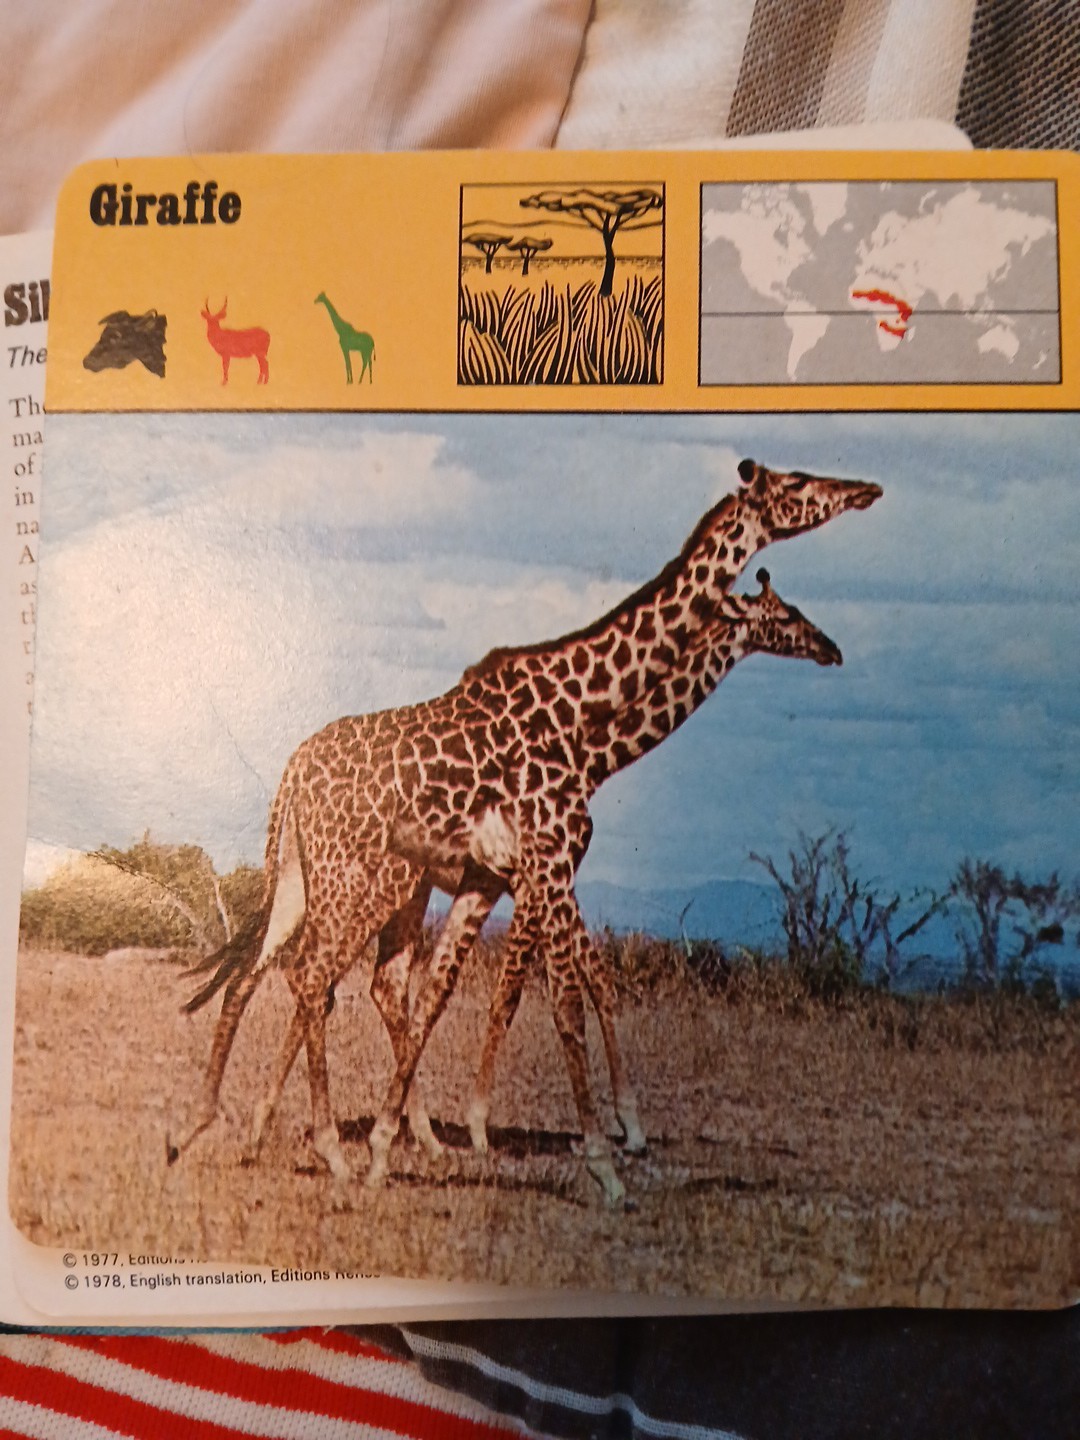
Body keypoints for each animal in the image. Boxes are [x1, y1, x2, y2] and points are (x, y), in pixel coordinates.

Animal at [167, 458, 881, 1204]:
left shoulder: (504, 877)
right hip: (358, 875)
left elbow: (463, 993)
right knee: (312, 977)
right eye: (797, 485)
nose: (868, 491)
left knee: (274, 974)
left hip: (306, 878)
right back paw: (326, 1144)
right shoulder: (547, 860)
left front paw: (400, 1145)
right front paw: (599, 1155)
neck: (589, 722)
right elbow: (557, 995)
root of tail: (294, 767)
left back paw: (212, 1127)